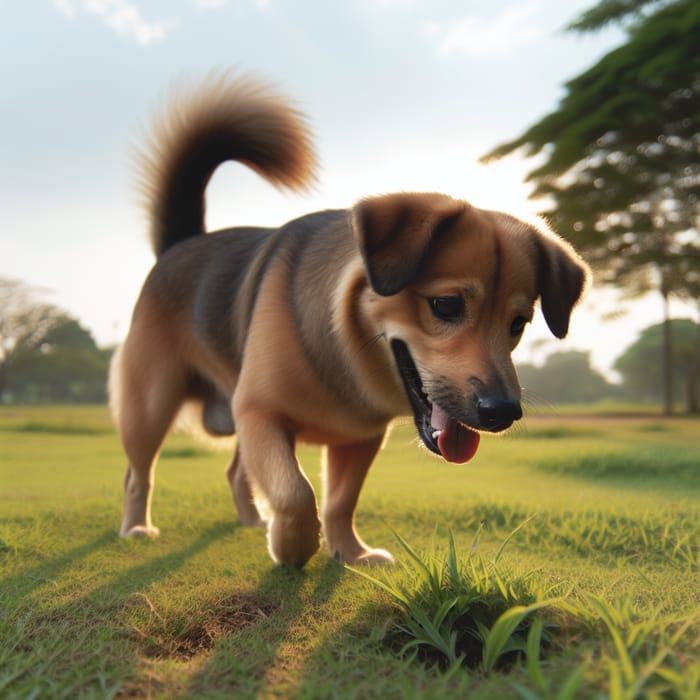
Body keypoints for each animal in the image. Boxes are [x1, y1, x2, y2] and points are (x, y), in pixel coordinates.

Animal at [109, 72, 592, 568]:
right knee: (137, 475)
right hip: (151, 406)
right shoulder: (260, 412)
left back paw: (252, 520)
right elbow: (296, 492)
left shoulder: (357, 439)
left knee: (234, 472)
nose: (503, 412)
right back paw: (137, 528)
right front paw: (292, 545)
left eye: (518, 324)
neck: (343, 348)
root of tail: (180, 245)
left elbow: (340, 500)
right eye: (446, 305)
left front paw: (349, 551)